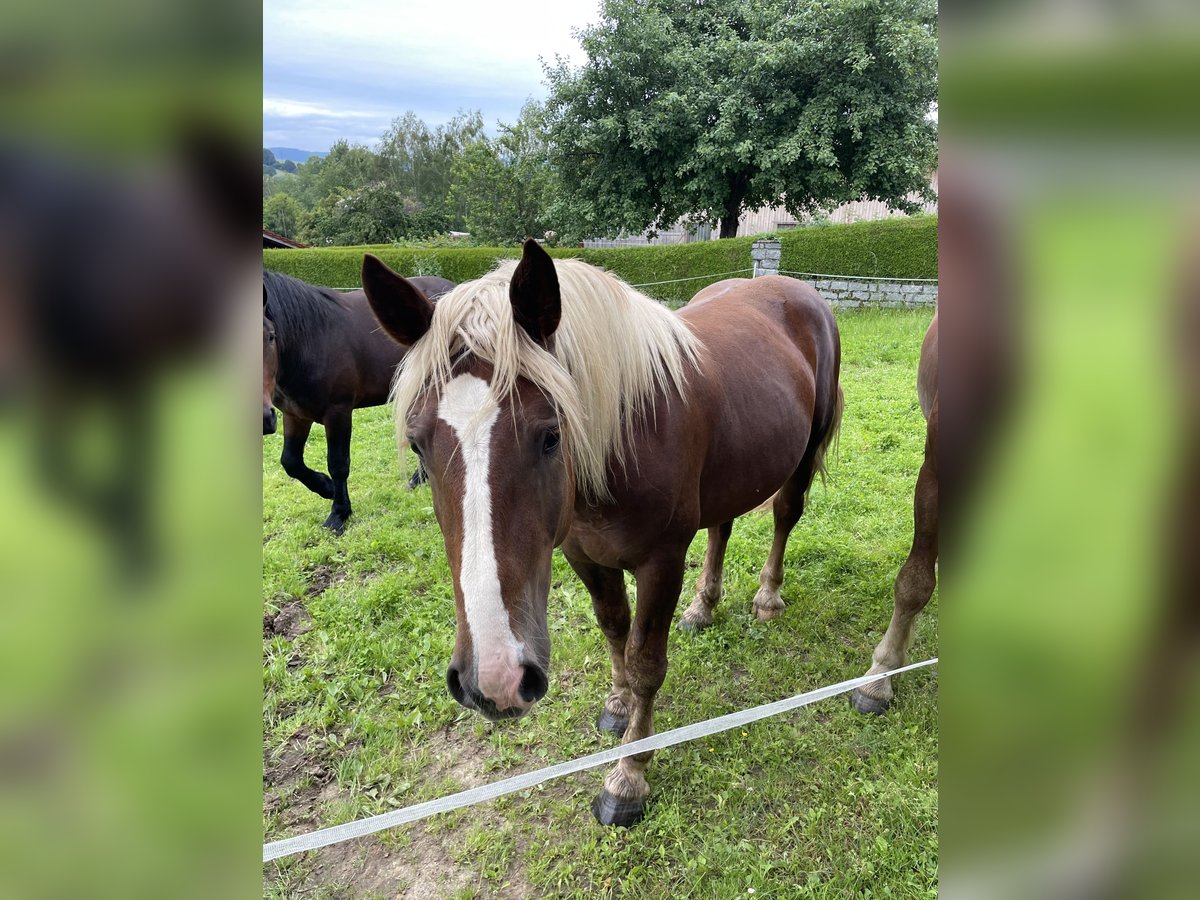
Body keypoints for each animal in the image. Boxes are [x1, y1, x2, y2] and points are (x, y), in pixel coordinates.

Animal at [262, 267, 453, 535]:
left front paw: (338, 513)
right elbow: (291, 461)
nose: (263, 419)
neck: (311, 339)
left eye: (270, 336)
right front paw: (326, 488)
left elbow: (338, 464)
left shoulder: (338, 412)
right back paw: (418, 479)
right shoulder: (294, 415)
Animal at [360, 241, 840, 830]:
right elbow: (613, 629)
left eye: (550, 435)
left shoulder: (662, 562)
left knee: (785, 516)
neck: (625, 434)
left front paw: (629, 776)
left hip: (802, 454)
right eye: (419, 446)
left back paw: (768, 596)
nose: (493, 679)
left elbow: (646, 663)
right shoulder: (582, 552)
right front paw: (617, 706)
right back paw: (703, 607)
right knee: (721, 527)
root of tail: (797, 289)